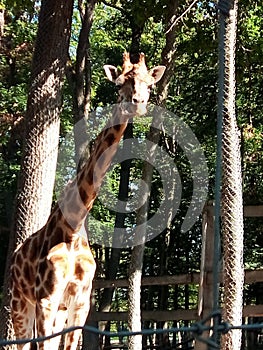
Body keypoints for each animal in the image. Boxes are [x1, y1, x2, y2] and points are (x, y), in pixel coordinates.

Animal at [10, 52, 167, 350]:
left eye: (148, 84)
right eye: (120, 82)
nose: (137, 103)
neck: (73, 226)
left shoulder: (79, 302)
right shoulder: (46, 299)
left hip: (56, 310)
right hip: (20, 303)